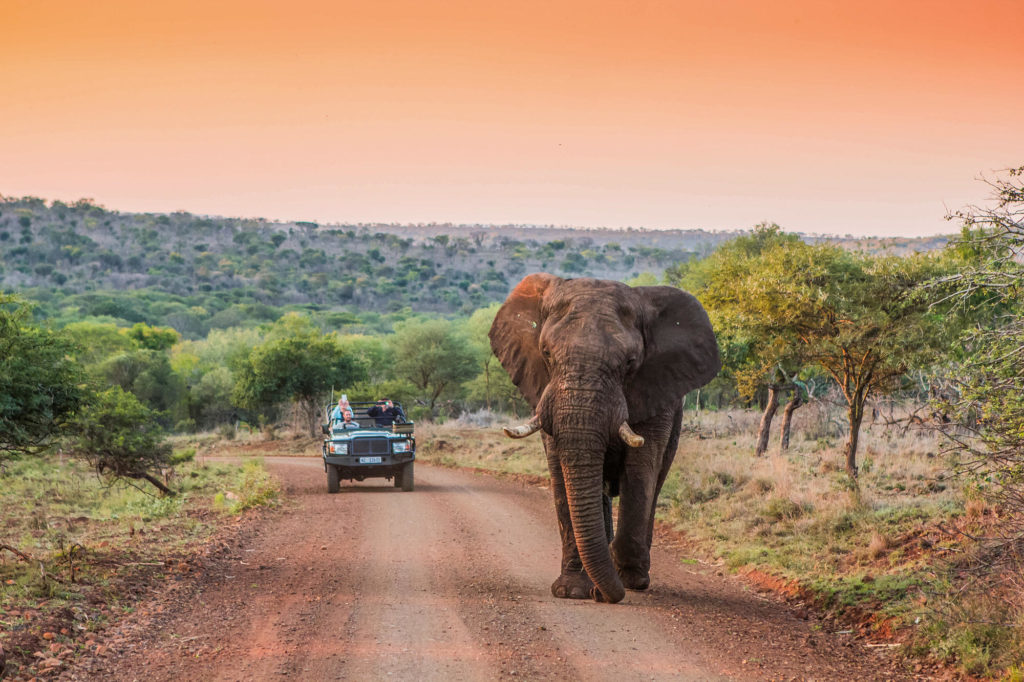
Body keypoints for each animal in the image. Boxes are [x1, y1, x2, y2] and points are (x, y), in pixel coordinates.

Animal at [487, 270, 720, 602]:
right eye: (546, 353)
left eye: (630, 362)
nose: (604, 594)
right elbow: (561, 471)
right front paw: (572, 591)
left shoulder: (657, 389)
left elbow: (641, 470)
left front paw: (622, 580)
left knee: (654, 484)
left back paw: (632, 576)